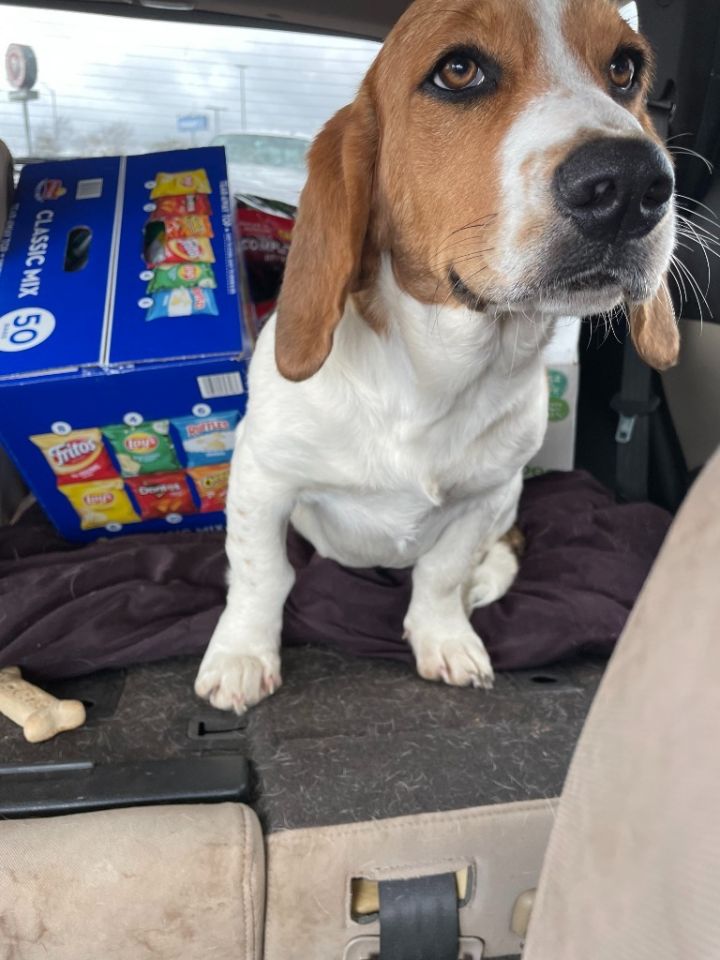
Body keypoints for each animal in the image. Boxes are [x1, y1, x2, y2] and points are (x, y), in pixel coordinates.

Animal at [194, 0, 676, 712]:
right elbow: (262, 573)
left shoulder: (484, 498)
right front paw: (241, 654)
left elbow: (443, 574)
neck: (440, 373)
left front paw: (443, 636)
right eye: (458, 70)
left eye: (624, 69)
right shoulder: (262, 475)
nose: (635, 181)